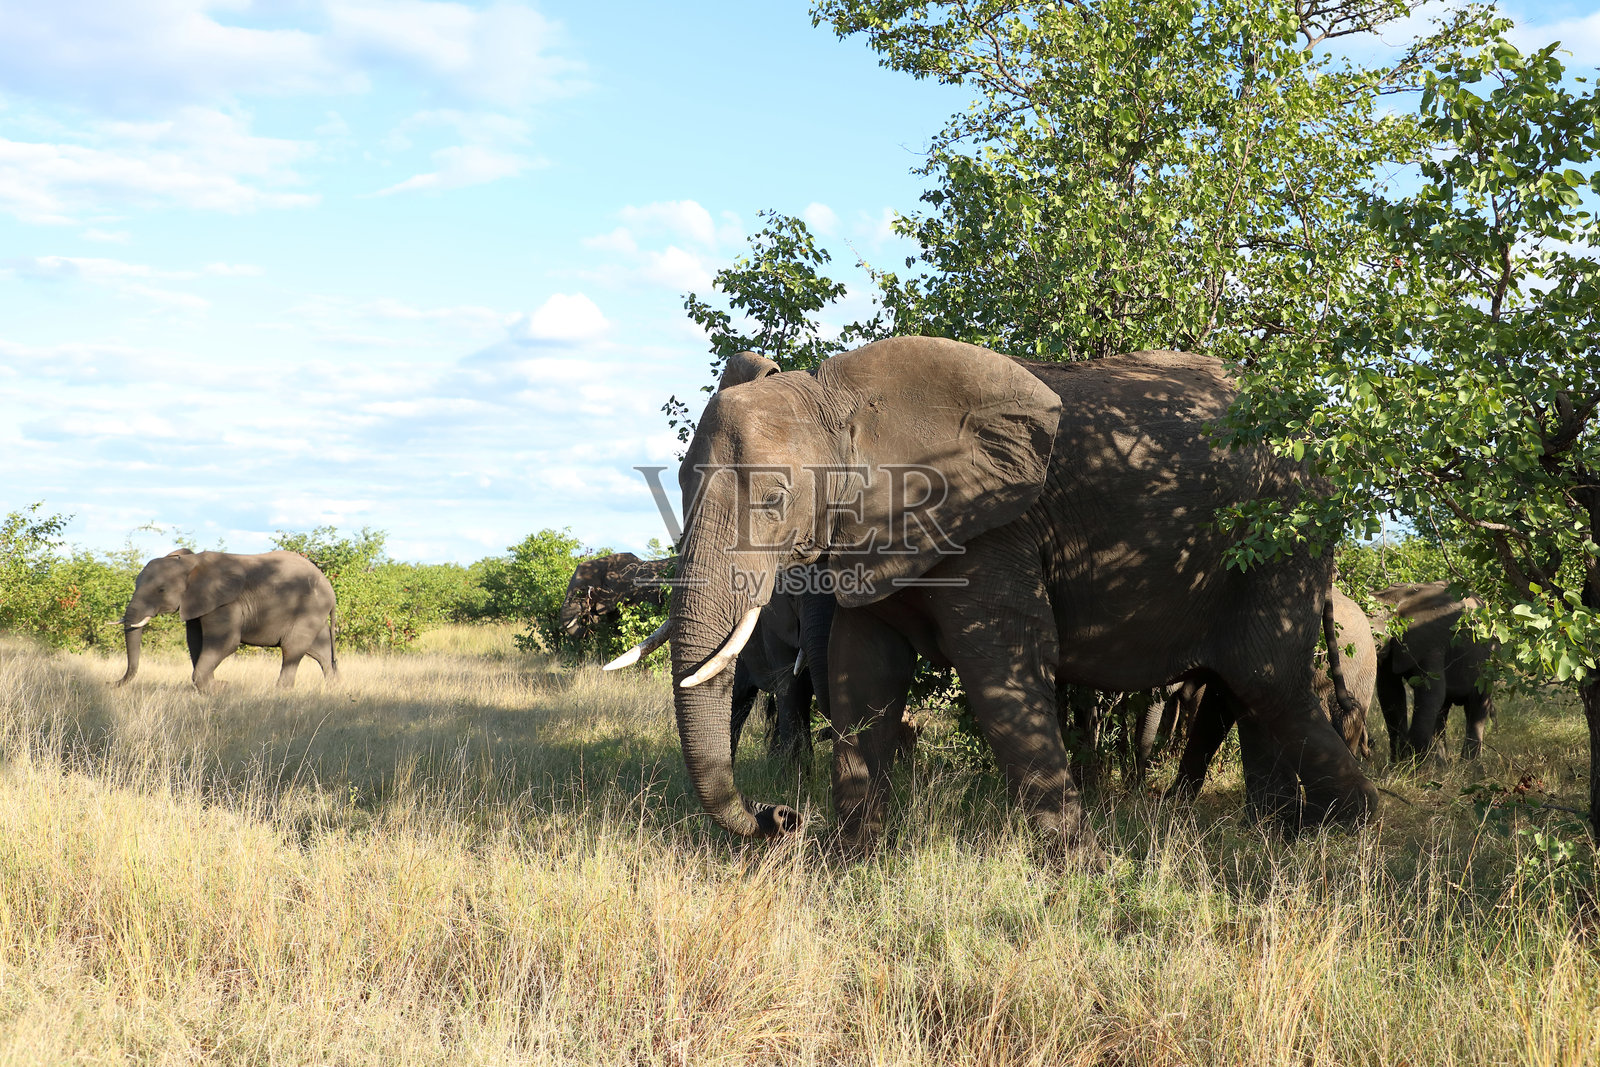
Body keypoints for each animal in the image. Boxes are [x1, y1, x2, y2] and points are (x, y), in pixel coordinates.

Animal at [115, 549, 337, 692]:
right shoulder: (197, 604)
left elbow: (225, 643)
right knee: (321, 652)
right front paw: (216, 686)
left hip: (309, 609)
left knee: (292, 649)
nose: (113, 683)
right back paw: (332, 688)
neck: (191, 562)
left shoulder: (225, 603)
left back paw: (281, 691)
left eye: (161, 590)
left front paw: (220, 687)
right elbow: (195, 643)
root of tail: (329, 587)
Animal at [1373, 581, 1494, 761]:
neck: (1392, 599)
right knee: (1442, 710)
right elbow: (1389, 692)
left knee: (1476, 708)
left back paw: (1469, 767)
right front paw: (1400, 763)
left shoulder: (1431, 641)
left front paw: (1414, 763)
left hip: (1488, 660)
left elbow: (1431, 691)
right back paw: (1441, 764)